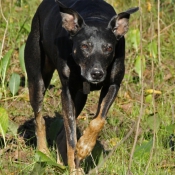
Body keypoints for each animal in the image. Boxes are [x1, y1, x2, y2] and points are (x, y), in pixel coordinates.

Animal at [24, 0, 138, 174]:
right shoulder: (67, 92)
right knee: (39, 118)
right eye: (84, 46)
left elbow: (98, 120)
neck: (95, 18)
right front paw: (76, 160)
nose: (97, 74)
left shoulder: (113, 85)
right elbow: (71, 138)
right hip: (37, 78)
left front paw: (84, 147)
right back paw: (43, 153)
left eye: (108, 48)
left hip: (80, 97)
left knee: (61, 135)